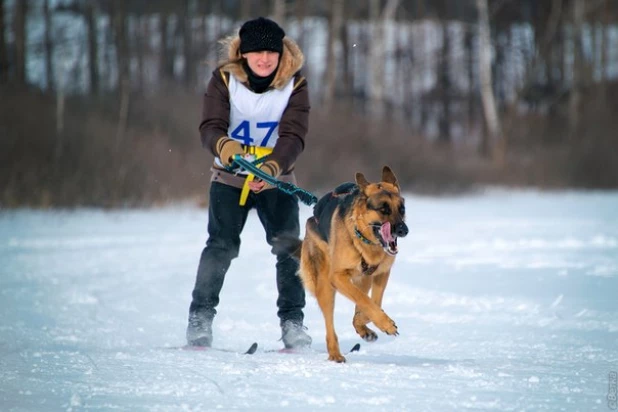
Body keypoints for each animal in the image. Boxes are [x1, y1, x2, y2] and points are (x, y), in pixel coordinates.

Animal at [278, 166, 404, 362]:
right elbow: (364, 300)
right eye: (383, 209)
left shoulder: (380, 274)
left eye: (402, 208)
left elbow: (372, 302)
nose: (403, 230)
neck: (364, 240)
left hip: (361, 280)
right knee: (330, 324)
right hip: (326, 288)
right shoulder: (338, 277)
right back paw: (335, 354)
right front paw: (385, 323)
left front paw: (365, 323)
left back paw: (362, 329)